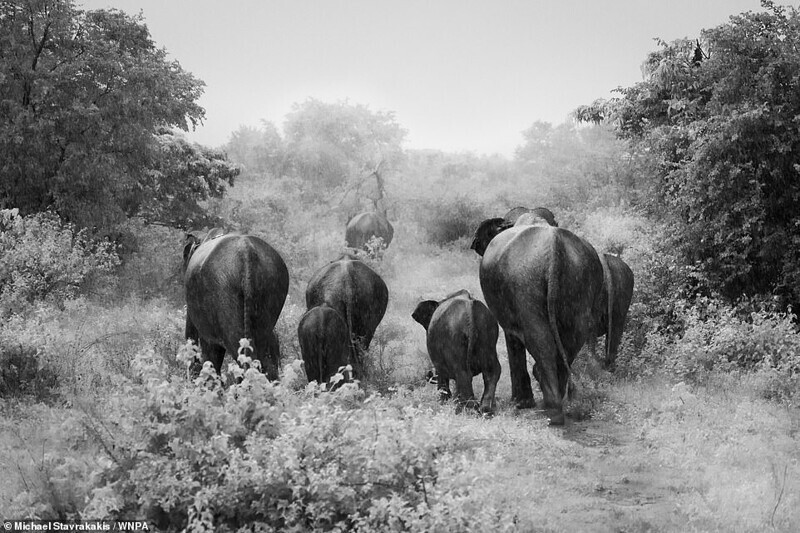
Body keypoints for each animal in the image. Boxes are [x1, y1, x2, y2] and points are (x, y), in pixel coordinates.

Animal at [468, 217, 608, 424]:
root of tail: (555, 248)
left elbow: (512, 337)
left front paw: (520, 403)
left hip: (525, 283)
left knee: (539, 336)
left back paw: (553, 411)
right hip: (580, 282)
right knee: (574, 335)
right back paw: (557, 401)